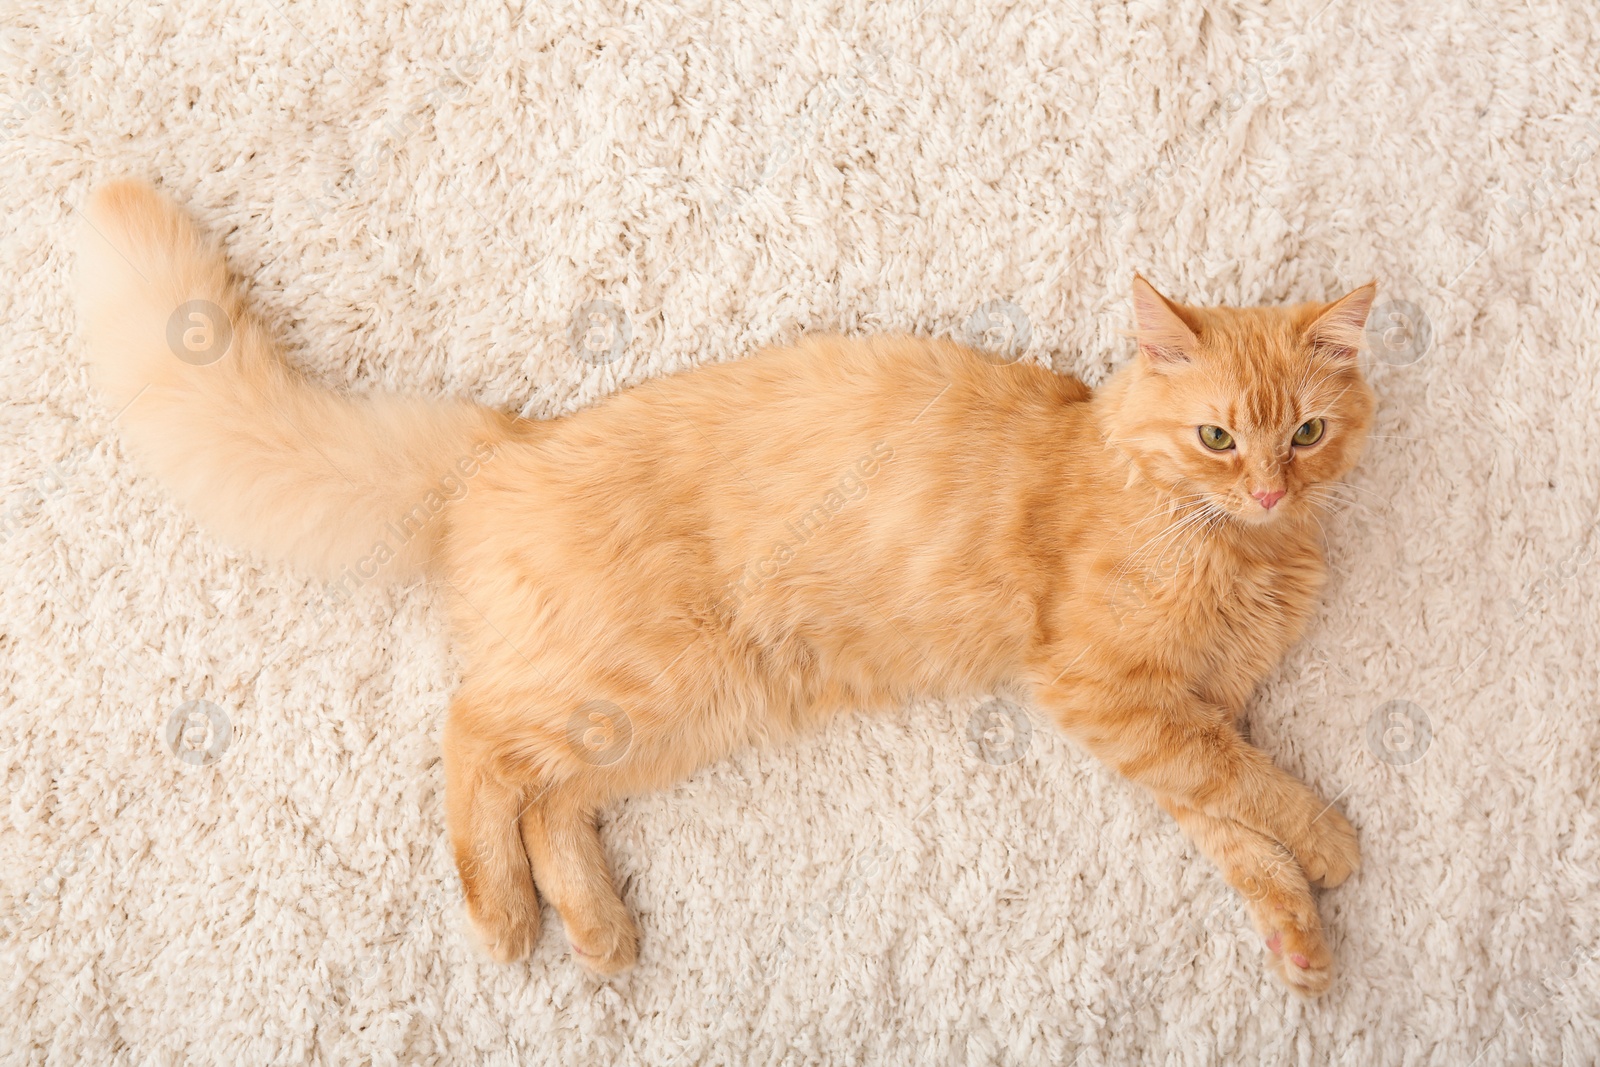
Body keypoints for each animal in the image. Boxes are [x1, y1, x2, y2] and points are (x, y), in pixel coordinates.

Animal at [78, 181, 1376, 991]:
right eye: (1217, 438)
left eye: (1306, 433)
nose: (1270, 488)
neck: (1236, 551)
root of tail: (510, 443)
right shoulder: (1111, 692)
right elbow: (1253, 789)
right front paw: (1332, 844)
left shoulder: (1180, 713)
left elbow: (1229, 823)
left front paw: (1297, 938)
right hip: (643, 677)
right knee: (474, 734)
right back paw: (503, 919)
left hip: (681, 710)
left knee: (549, 793)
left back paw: (598, 933)